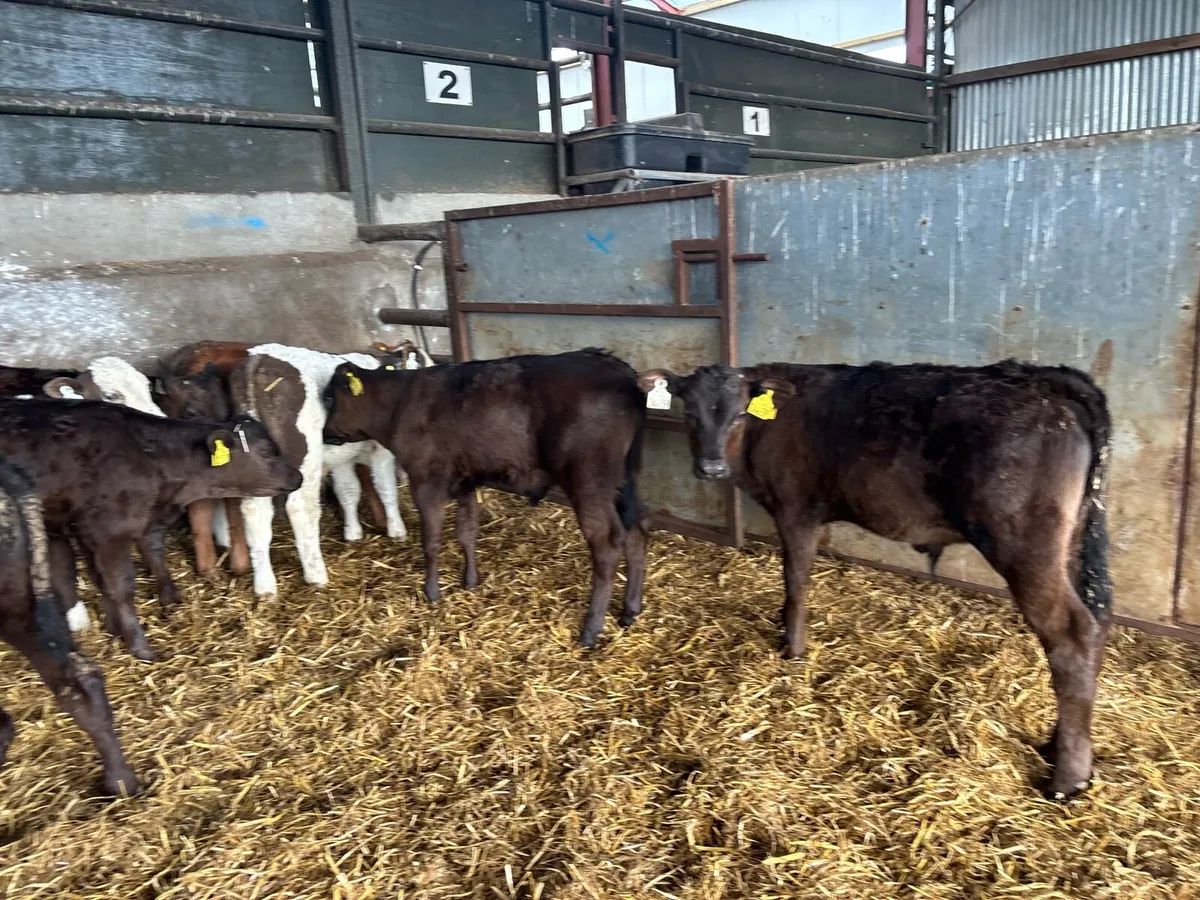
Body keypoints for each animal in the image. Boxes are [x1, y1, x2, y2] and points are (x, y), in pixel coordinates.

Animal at [0, 400, 302, 660]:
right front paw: (139, 646)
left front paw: (163, 602)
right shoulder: (109, 532)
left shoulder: (111, 526)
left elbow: (147, 558)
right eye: (266, 451)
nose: (298, 477)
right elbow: (121, 588)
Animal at [322, 348, 648, 648]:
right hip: (623, 484)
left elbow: (431, 543)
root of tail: (616, 368)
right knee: (636, 534)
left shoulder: (425, 481)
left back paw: (590, 630)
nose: (325, 434)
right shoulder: (465, 481)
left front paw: (431, 592)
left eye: (329, 398)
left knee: (608, 543)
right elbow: (467, 533)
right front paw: (470, 581)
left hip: (588, 482)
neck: (398, 403)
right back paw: (629, 612)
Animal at [636, 359, 1112, 800]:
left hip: (1024, 546)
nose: (711, 468)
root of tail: (1046, 379)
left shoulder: (796, 510)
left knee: (1072, 637)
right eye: (690, 412)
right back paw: (1057, 746)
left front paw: (793, 648)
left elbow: (796, 580)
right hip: (1068, 545)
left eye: (738, 415)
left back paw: (1067, 778)